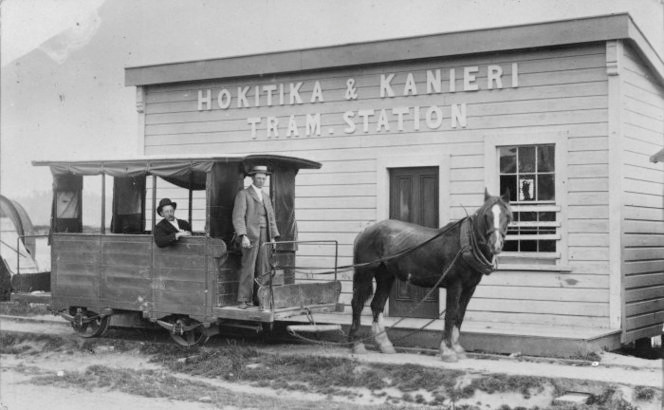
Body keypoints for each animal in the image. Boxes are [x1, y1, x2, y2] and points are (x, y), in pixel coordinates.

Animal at [350, 189, 510, 362]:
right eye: (486, 215)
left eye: (507, 215)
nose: (496, 245)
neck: (465, 243)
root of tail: (365, 231)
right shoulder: (455, 285)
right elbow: (450, 314)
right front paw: (447, 350)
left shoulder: (469, 287)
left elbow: (459, 315)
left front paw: (456, 347)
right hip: (365, 273)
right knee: (357, 304)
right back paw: (357, 343)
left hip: (385, 276)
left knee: (377, 305)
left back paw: (384, 344)